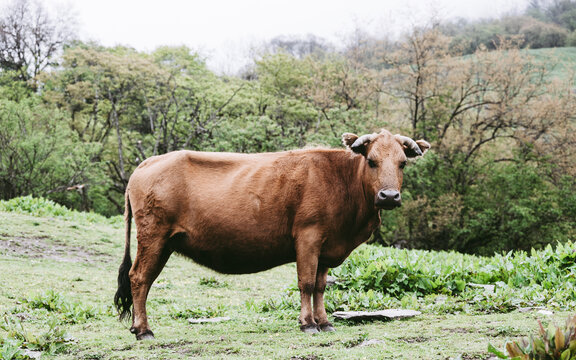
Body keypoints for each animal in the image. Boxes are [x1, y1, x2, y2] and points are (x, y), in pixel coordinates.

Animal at [113, 129, 428, 340]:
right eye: (372, 161)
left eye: (402, 162)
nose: (389, 196)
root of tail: (148, 162)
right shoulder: (308, 238)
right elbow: (306, 284)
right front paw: (308, 323)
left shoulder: (326, 248)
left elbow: (321, 286)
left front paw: (325, 322)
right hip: (153, 237)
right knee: (138, 278)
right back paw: (144, 330)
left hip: (164, 243)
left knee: (145, 280)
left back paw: (138, 327)